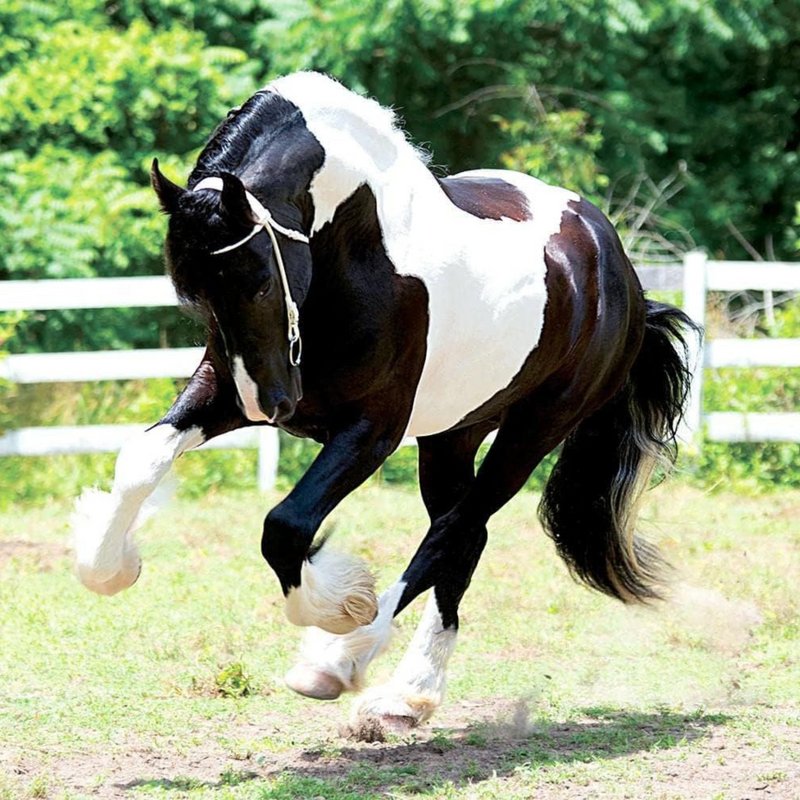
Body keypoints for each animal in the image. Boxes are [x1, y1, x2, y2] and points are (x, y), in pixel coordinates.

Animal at [75, 72, 700, 728]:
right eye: (192, 295)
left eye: (261, 282)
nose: (269, 407)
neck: (360, 253)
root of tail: (619, 268)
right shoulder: (225, 390)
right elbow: (141, 458)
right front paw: (113, 567)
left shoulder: (372, 430)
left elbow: (286, 526)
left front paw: (341, 607)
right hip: (453, 434)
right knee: (464, 539)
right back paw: (409, 694)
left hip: (534, 430)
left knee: (452, 531)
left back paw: (341, 662)